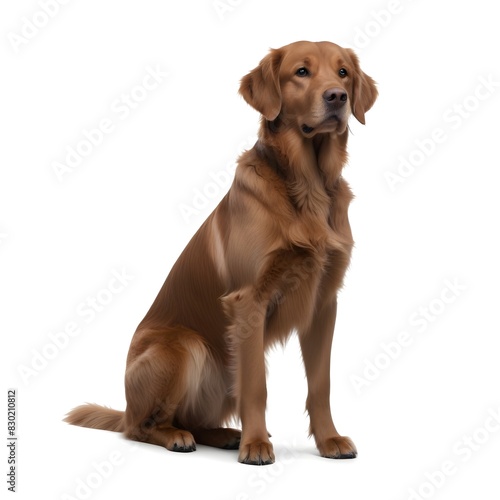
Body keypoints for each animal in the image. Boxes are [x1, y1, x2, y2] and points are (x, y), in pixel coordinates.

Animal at [64, 41, 376, 466]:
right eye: (301, 72)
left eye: (343, 73)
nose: (337, 97)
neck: (308, 186)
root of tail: (124, 408)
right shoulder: (249, 301)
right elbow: (257, 386)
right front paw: (257, 445)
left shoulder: (324, 303)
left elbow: (320, 384)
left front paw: (329, 440)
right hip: (186, 348)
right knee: (142, 427)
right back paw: (179, 437)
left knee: (193, 419)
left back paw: (224, 434)